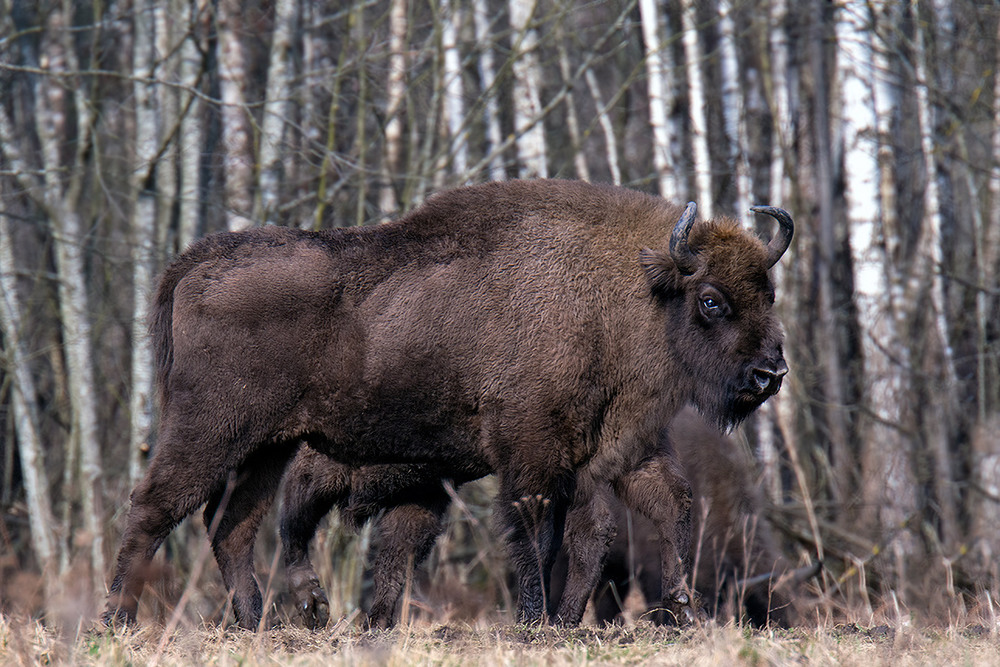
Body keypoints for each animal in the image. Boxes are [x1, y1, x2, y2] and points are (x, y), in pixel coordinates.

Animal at [99, 180, 788, 628]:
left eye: (769, 292)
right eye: (711, 300)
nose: (770, 372)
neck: (625, 291)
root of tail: (201, 260)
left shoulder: (622, 450)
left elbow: (656, 513)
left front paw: (674, 613)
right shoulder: (533, 456)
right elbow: (538, 535)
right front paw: (536, 623)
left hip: (268, 447)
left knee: (235, 525)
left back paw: (257, 622)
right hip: (211, 432)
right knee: (155, 507)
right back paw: (119, 621)